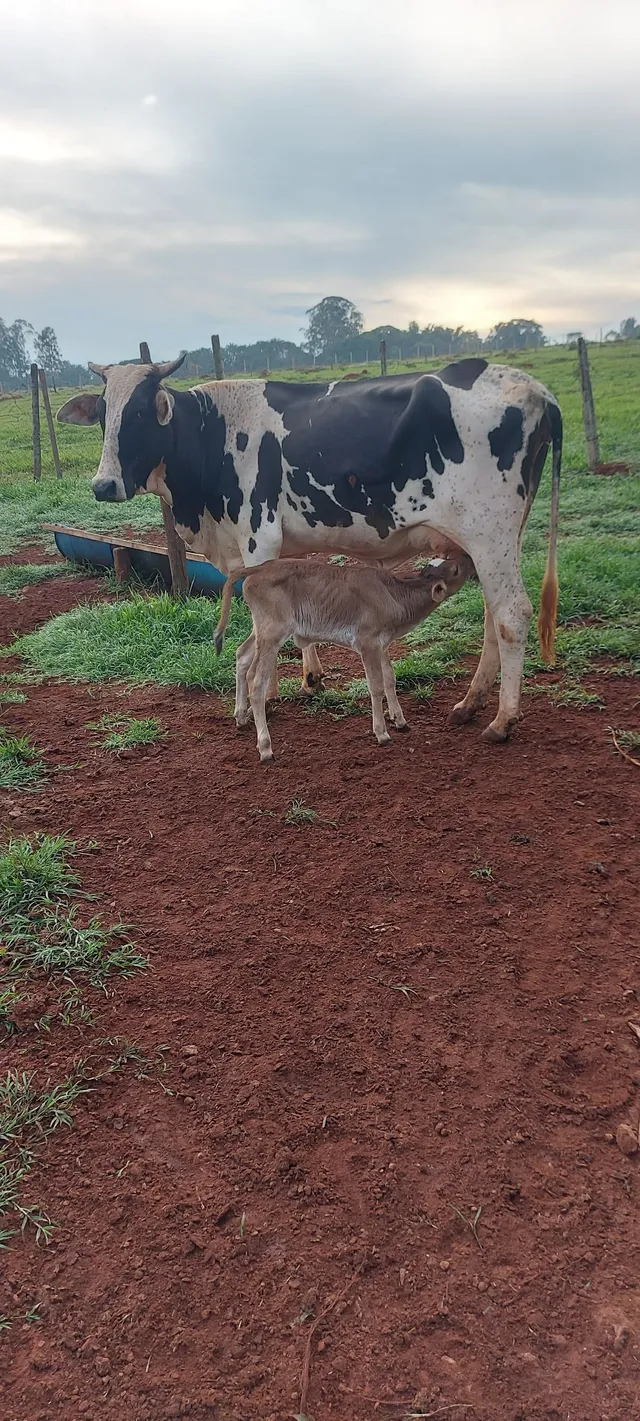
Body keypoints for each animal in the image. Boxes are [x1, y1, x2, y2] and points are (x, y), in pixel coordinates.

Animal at [234, 555, 474, 763]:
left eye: (448, 561)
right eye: (455, 570)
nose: (467, 558)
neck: (394, 596)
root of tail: (260, 568)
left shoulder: (382, 645)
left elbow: (390, 679)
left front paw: (400, 720)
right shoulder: (367, 644)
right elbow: (376, 687)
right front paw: (382, 734)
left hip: (261, 632)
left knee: (241, 656)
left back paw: (240, 716)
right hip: (272, 634)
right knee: (256, 683)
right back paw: (265, 748)